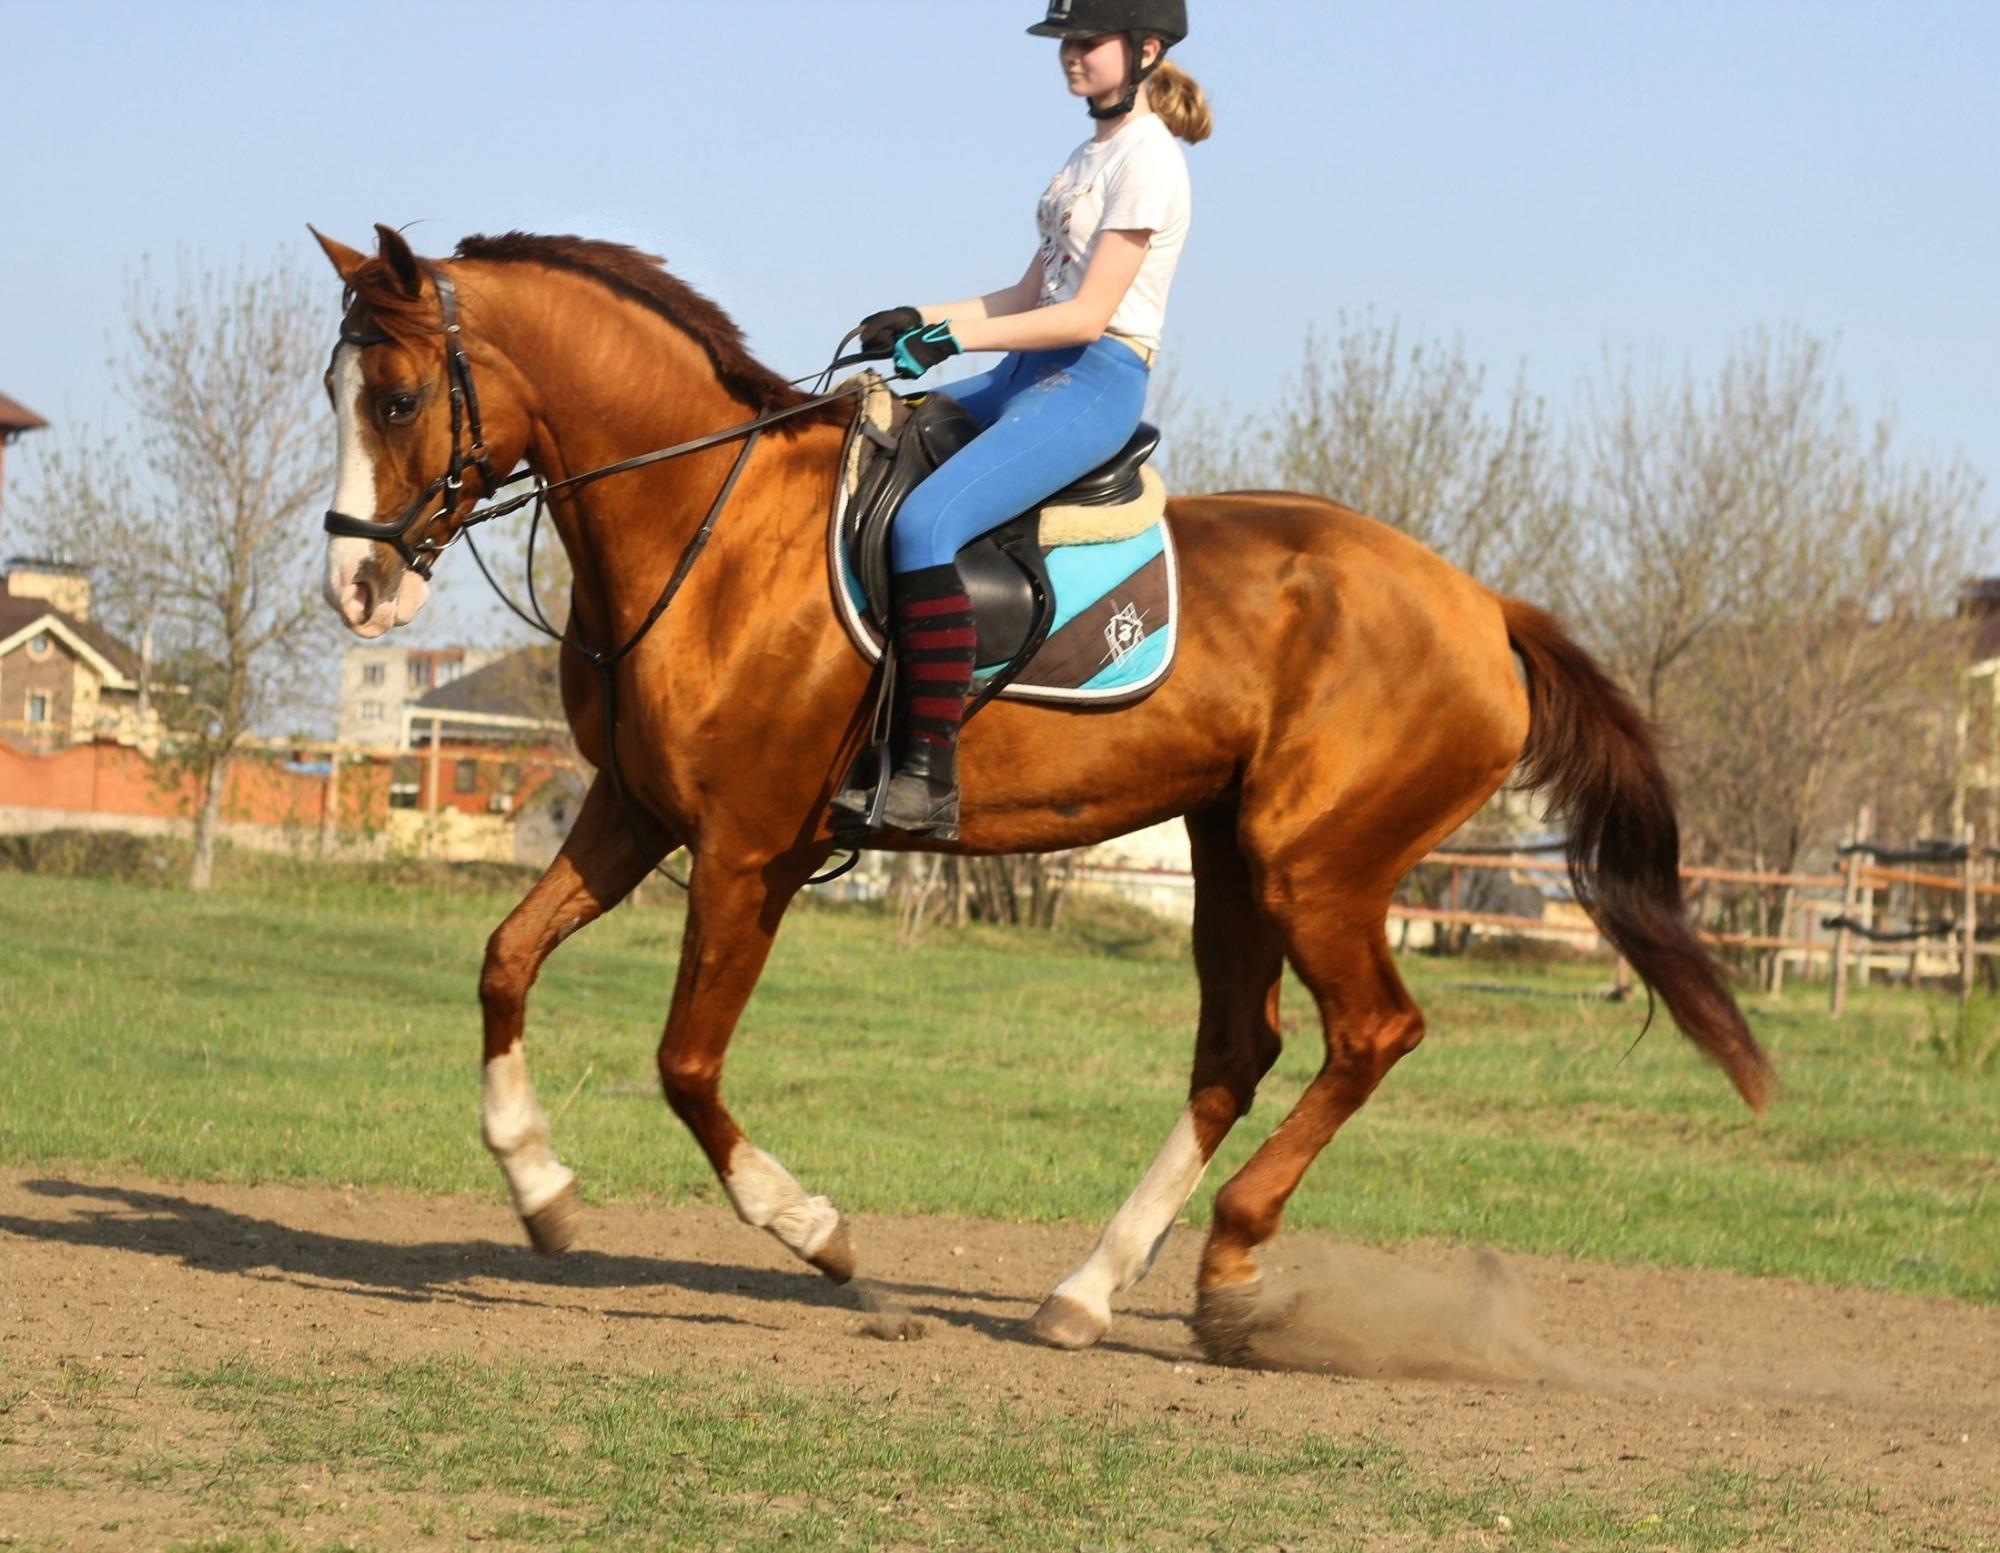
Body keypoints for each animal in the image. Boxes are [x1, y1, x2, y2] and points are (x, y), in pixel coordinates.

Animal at [308, 227, 1768, 1360]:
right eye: (338, 388)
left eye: (397, 400)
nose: (359, 589)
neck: (708, 528)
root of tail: (1484, 607)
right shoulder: (635, 814)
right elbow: (504, 960)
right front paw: (540, 1185)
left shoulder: (744, 850)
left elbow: (684, 1062)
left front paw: (820, 1235)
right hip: (1230, 850)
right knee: (1237, 1052)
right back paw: (1092, 1290)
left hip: (1312, 862)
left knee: (1370, 1033)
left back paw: (1227, 1264)